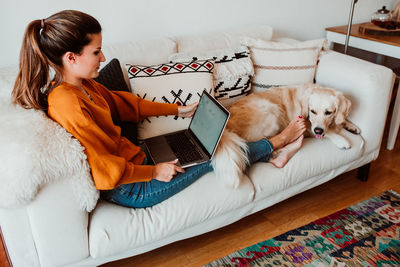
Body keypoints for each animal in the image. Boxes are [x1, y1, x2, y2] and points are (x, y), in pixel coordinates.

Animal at [212, 84, 360, 188]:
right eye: (312, 111)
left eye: (328, 112)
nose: (318, 131)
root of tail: (226, 130)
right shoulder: (306, 122)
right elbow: (328, 132)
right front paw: (341, 140)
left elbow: (340, 120)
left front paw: (351, 126)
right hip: (271, 110)